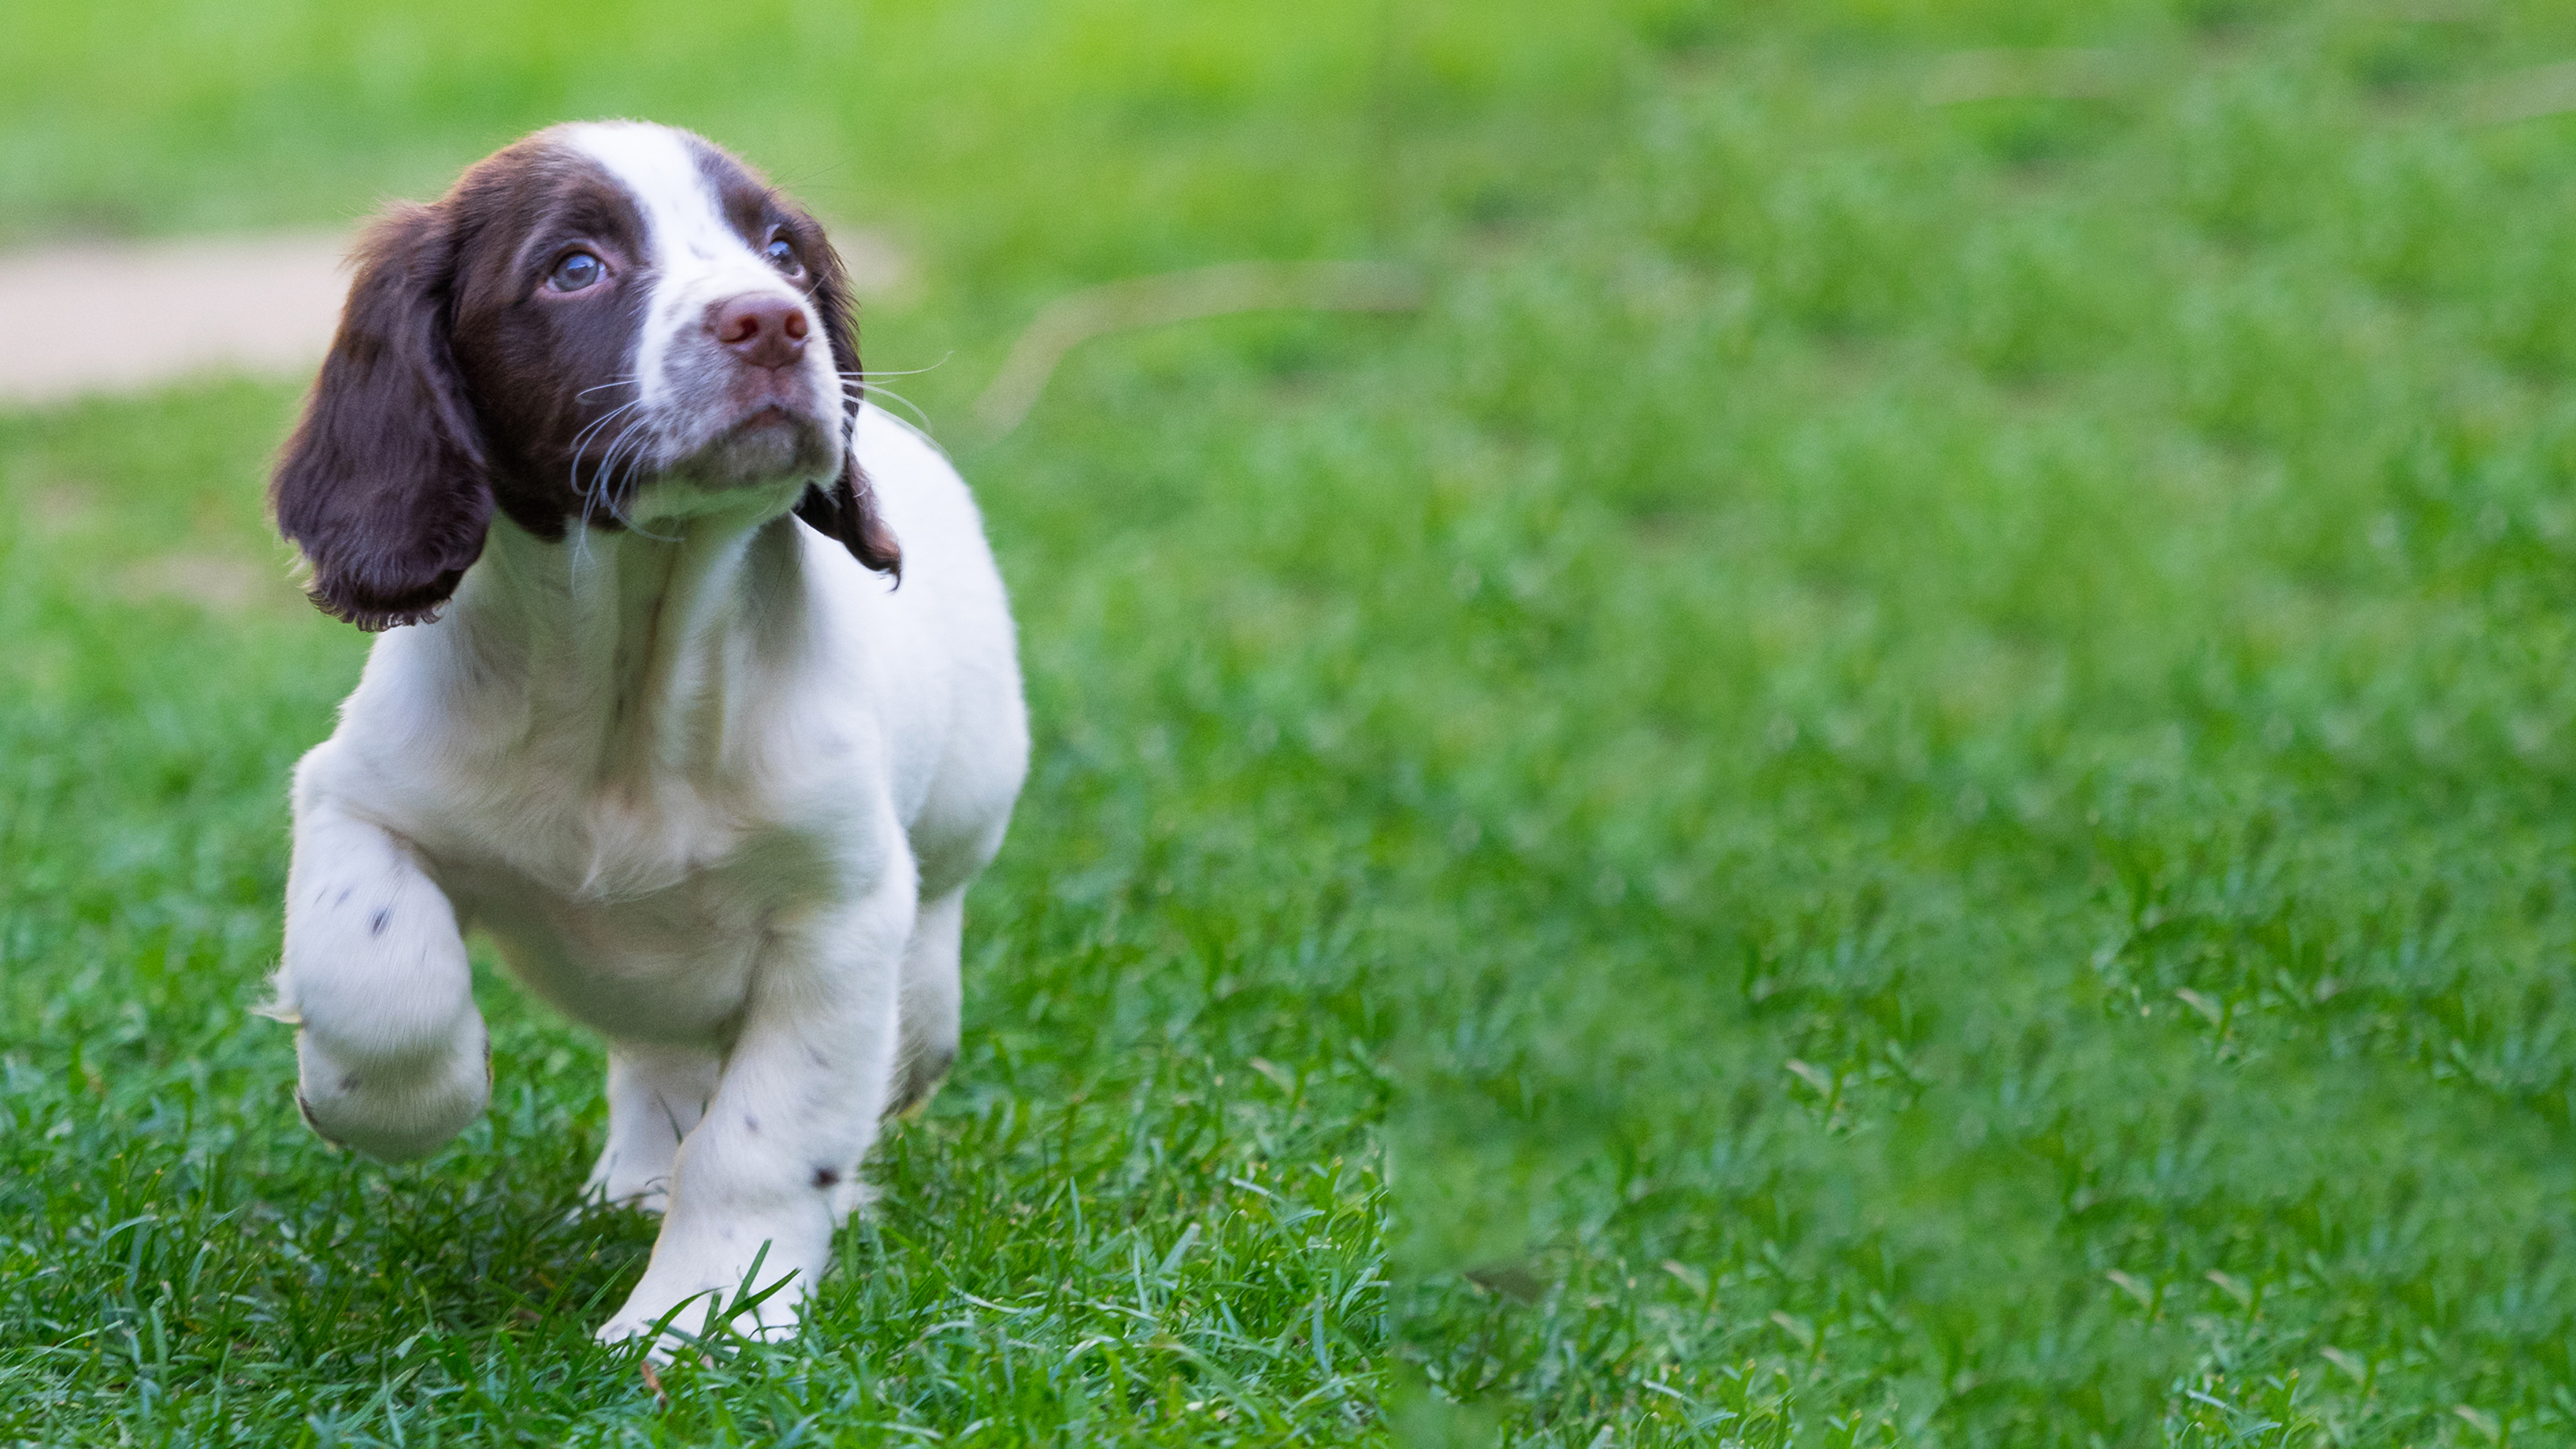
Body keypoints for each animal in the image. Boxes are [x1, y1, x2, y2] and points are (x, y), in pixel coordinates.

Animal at [264, 121, 1025, 1340]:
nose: (772, 320)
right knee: (659, 1057)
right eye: (575, 268)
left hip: (966, 800)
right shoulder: (356, 796)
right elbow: (377, 974)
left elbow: (762, 1140)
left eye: (781, 249)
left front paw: (706, 1315)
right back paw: (630, 1181)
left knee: (928, 952)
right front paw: (390, 1101)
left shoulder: (838, 911)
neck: (632, 679)